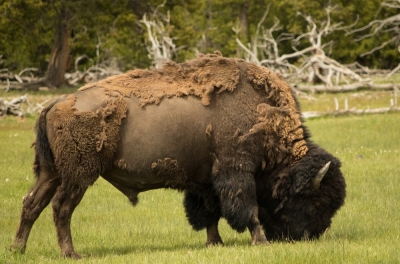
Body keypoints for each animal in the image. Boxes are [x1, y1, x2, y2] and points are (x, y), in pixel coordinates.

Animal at [10, 52, 346, 258]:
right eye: (314, 201)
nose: (313, 236)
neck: (262, 113)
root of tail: (55, 103)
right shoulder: (236, 171)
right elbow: (245, 209)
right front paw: (259, 240)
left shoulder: (206, 180)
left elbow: (210, 212)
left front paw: (215, 243)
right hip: (78, 175)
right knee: (61, 207)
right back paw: (71, 253)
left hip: (50, 172)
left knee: (32, 203)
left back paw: (18, 249)